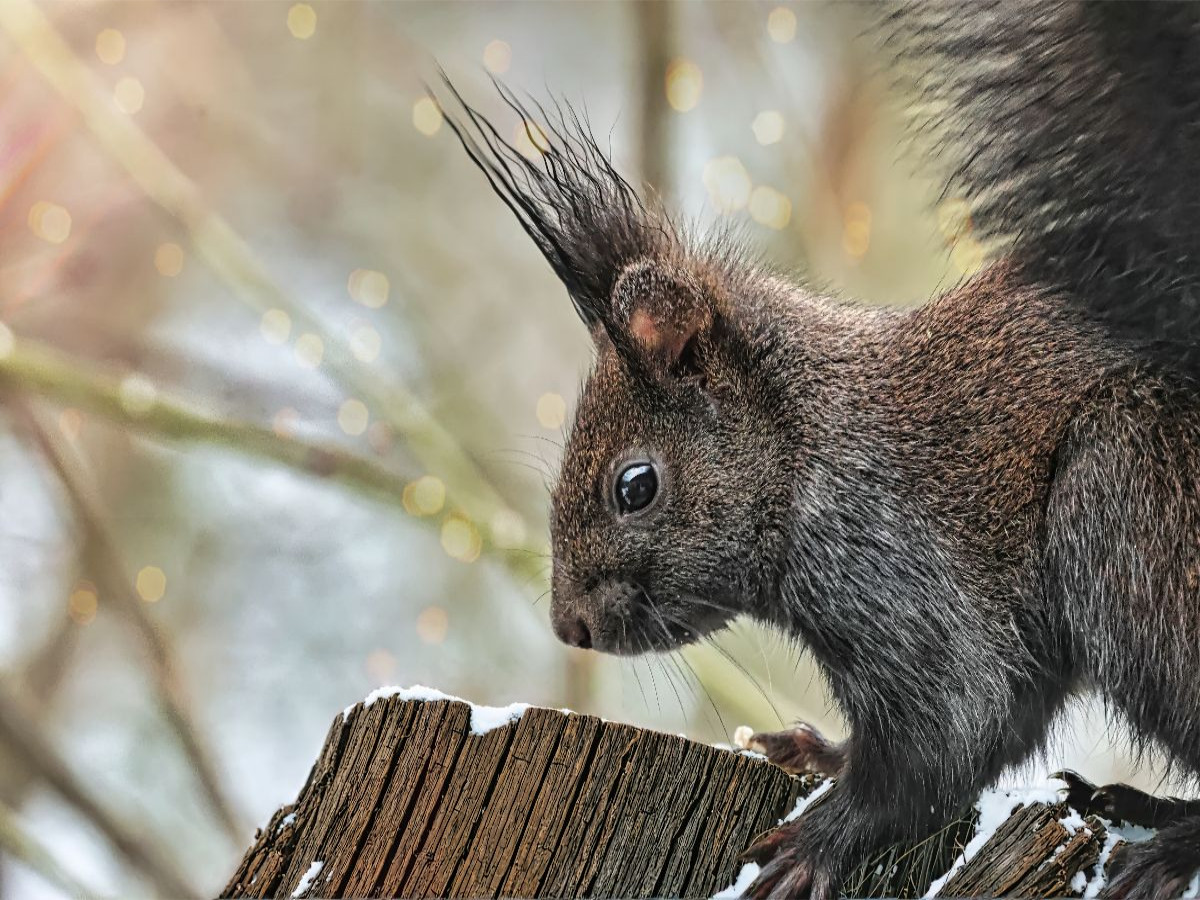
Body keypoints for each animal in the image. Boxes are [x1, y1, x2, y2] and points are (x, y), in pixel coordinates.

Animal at [437, 3, 1200, 898]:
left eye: (635, 485)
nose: (570, 627)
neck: (811, 451)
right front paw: (814, 752)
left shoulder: (911, 583)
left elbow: (949, 732)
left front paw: (813, 843)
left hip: (1132, 502)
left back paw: (1168, 839)